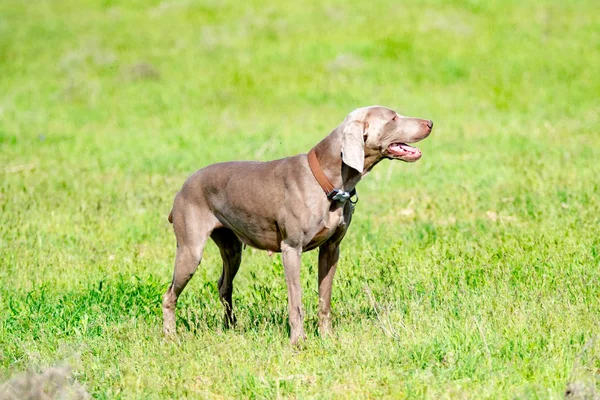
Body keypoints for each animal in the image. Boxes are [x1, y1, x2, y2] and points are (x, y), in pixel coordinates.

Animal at [162, 106, 434, 344]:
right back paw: (170, 336)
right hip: (191, 250)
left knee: (223, 286)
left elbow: (325, 298)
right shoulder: (291, 249)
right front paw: (298, 341)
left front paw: (327, 337)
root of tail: (183, 187)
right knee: (169, 294)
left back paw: (231, 328)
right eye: (393, 118)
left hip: (232, 249)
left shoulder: (331, 249)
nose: (430, 122)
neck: (328, 181)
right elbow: (296, 299)